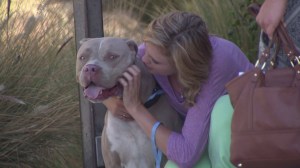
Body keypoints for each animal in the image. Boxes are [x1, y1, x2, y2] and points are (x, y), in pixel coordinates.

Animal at [75, 37, 183, 167]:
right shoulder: (112, 161)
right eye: (82, 57)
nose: (90, 68)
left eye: (112, 56)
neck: (132, 120)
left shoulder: (162, 159)